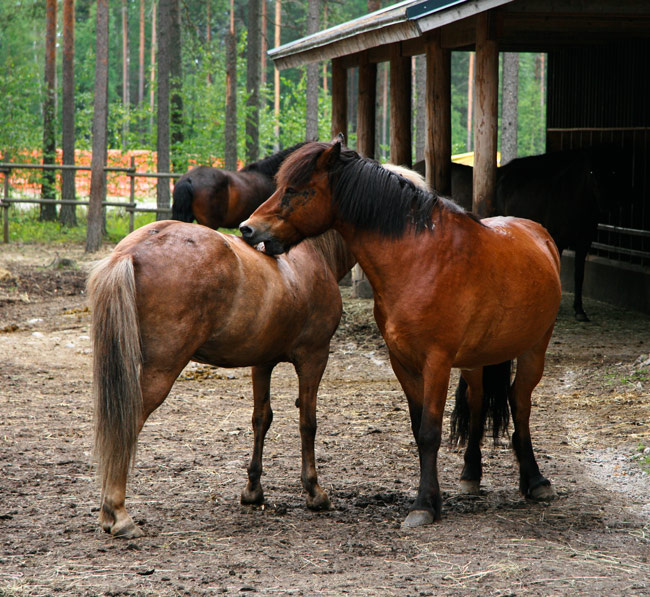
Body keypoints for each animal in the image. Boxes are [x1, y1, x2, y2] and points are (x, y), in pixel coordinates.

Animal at [87, 221, 355, 538]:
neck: (312, 253)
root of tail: (131, 251)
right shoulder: (314, 357)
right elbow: (308, 423)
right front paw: (314, 491)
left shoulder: (262, 361)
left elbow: (261, 419)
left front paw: (253, 490)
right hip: (160, 371)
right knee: (127, 424)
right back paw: (118, 514)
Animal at [239, 139, 562, 528]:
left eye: (295, 190)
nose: (247, 229)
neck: (419, 259)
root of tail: (538, 233)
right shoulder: (402, 362)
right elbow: (418, 427)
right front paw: (432, 498)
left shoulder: (436, 362)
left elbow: (430, 432)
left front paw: (423, 505)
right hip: (475, 360)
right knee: (478, 400)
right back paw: (472, 474)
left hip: (534, 349)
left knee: (520, 402)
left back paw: (536, 481)